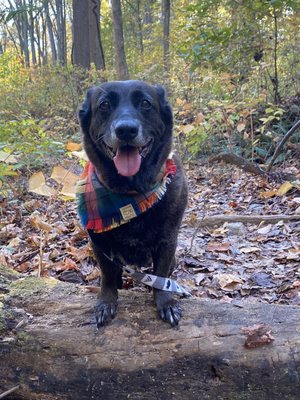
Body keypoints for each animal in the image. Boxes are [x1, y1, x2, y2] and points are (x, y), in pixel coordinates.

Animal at [79, 79, 188, 326]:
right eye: (104, 105)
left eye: (146, 103)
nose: (126, 129)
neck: (130, 193)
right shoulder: (99, 244)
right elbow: (108, 276)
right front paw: (106, 301)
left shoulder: (168, 241)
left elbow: (161, 276)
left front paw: (165, 302)